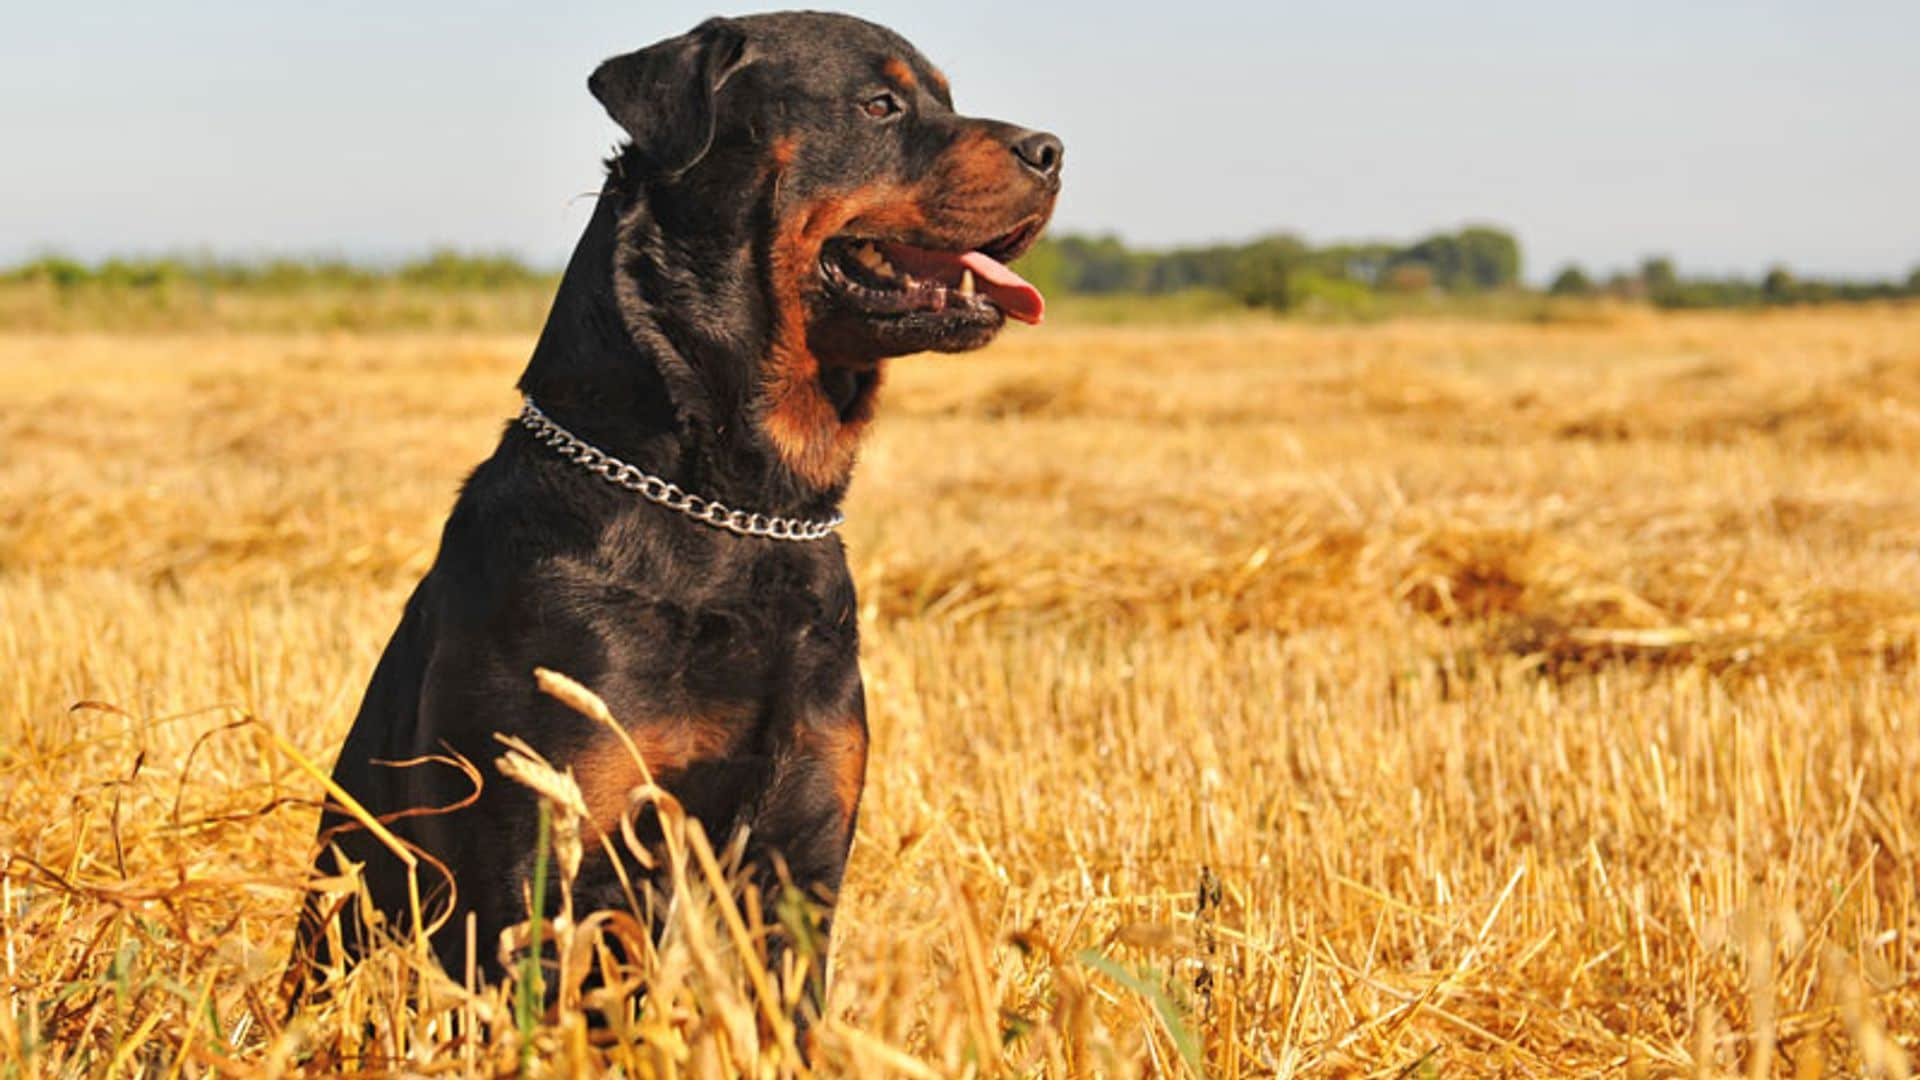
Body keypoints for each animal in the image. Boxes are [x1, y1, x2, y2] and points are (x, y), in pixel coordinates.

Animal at [291, 8, 1059, 1014]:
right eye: (879, 105)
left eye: (946, 98)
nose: (1051, 149)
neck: (738, 509)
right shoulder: (546, 853)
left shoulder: (802, 852)